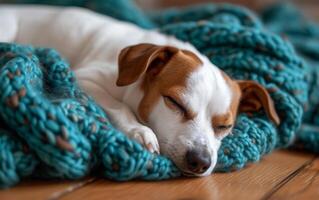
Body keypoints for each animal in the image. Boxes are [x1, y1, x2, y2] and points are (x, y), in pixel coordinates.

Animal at [0, 5, 280, 176]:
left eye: (224, 126)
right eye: (174, 103)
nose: (201, 161)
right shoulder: (86, 78)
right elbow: (119, 106)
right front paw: (140, 132)